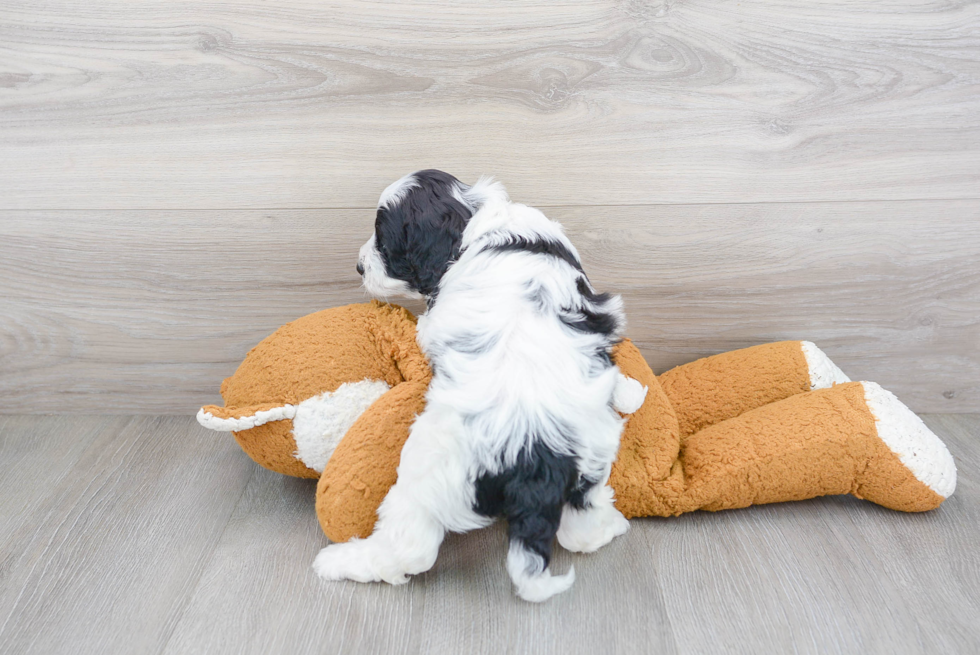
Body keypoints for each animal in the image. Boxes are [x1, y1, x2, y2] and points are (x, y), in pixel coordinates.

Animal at [314, 170, 648, 604]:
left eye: (384, 241)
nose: (358, 267)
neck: (481, 222)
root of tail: (534, 452)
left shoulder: (435, 322)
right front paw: (630, 390)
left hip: (428, 469)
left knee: (410, 547)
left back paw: (340, 561)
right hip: (589, 458)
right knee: (580, 526)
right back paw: (609, 524)